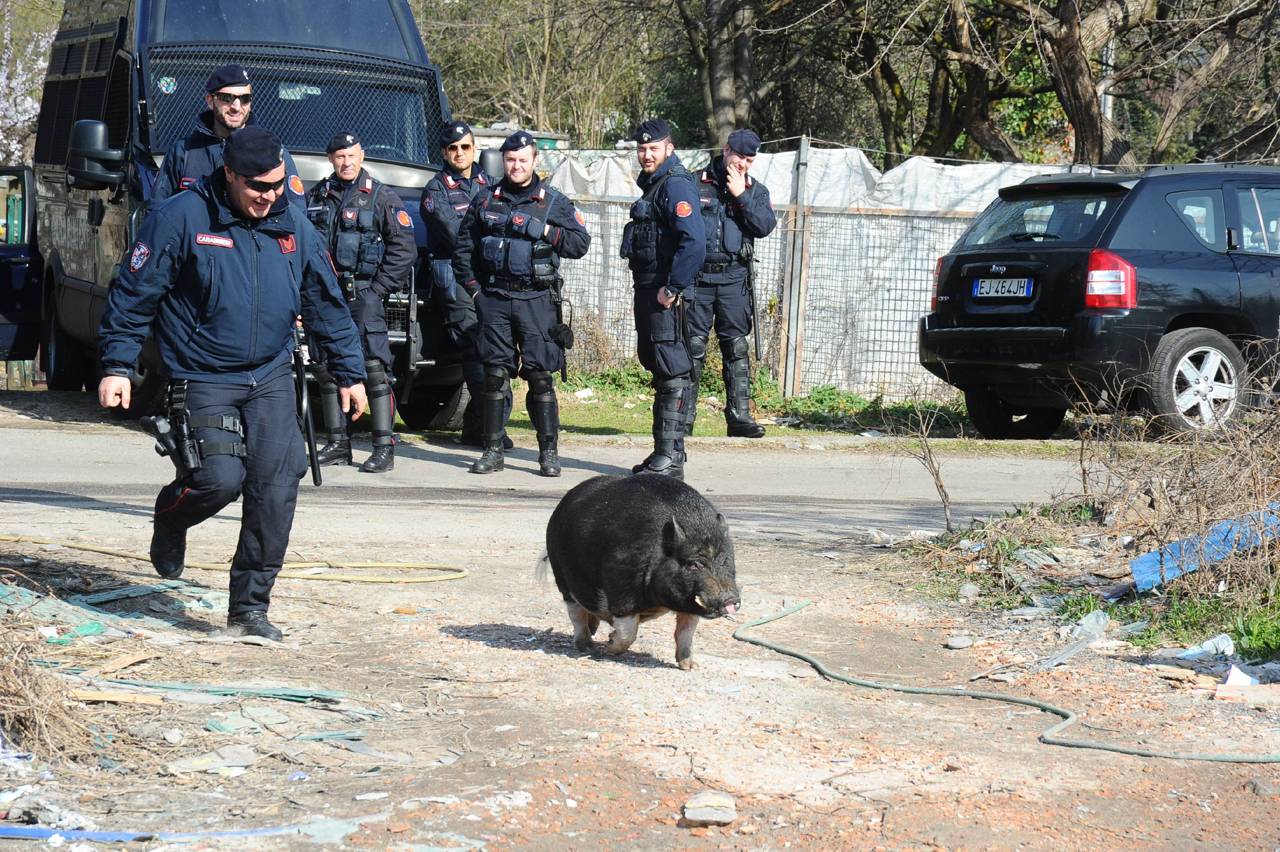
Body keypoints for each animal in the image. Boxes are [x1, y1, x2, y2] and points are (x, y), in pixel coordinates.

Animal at [540, 473, 742, 665]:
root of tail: (562, 504)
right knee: (576, 613)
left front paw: (690, 666)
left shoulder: (688, 607)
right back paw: (587, 647)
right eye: (693, 564)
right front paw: (609, 648)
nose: (730, 598)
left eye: (725, 560)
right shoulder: (622, 589)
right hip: (561, 577)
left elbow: (686, 631)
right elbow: (628, 632)